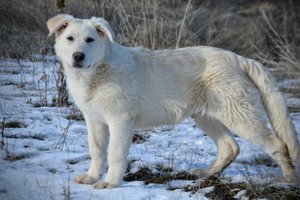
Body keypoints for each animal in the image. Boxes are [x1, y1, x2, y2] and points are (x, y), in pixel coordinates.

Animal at [48, 14, 298, 188]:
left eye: (90, 40)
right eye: (70, 39)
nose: (78, 56)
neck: (98, 72)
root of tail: (239, 58)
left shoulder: (120, 120)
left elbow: (115, 154)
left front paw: (110, 183)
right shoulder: (94, 120)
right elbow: (97, 150)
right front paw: (91, 177)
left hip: (239, 115)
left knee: (277, 144)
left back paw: (289, 179)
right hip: (207, 116)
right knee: (230, 147)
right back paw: (207, 173)